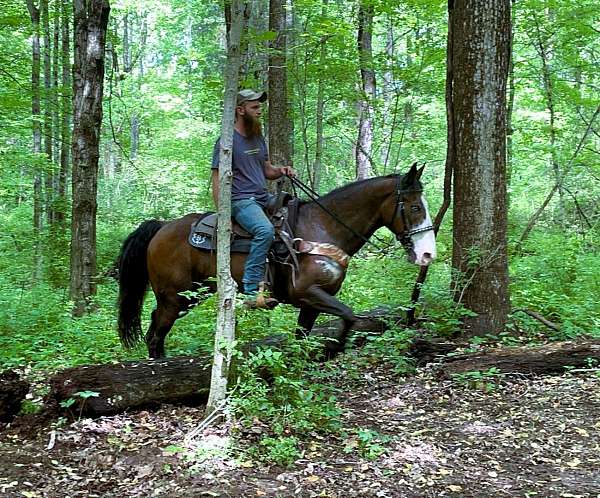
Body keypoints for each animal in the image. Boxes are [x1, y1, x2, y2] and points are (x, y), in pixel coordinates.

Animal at [117, 163, 436, 358]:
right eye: (415, 207)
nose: (427, 254)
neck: (324, 228)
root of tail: (161, 227)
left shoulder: (312, 302)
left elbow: (303, 335)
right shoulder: (307, 292)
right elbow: (349, 315)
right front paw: (331, 351)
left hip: (192, 294)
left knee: (154, 327)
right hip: (176, 297)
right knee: (155, 333)